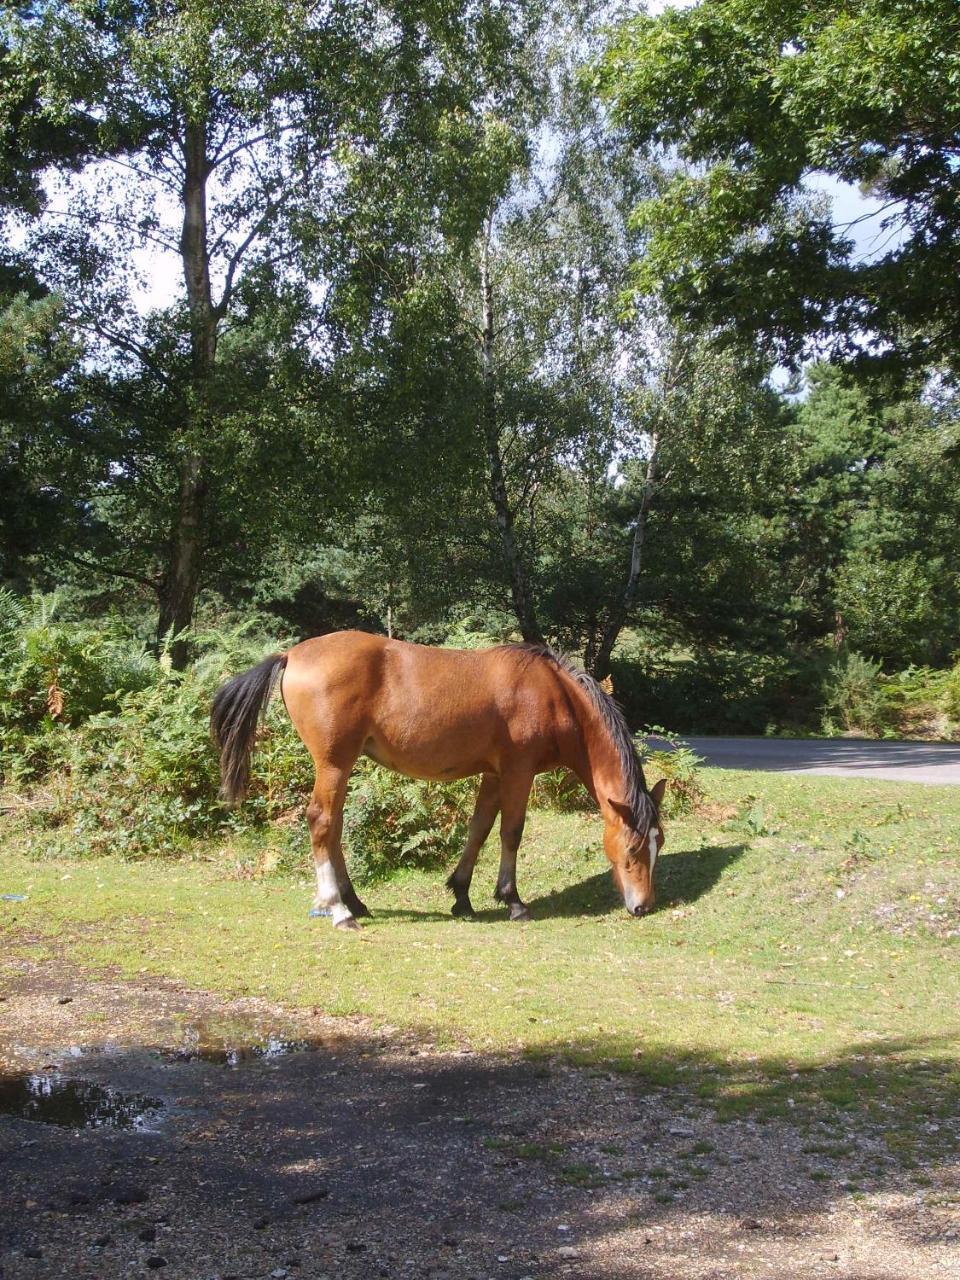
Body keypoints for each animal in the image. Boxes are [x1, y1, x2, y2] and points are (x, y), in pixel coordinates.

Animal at [209, 629, 665, 931]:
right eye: (631, 848)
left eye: (658, 843)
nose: (643, 906)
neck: (554, 695)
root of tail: (291, 654)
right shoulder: (518, 773)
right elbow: (511, 832)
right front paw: (513, 900)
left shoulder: (494, 775)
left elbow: (479, 829)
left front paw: (461, 895)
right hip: (334, 764)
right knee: (322, 822)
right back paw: (337, 910)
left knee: (334, 827)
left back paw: (354, 902)